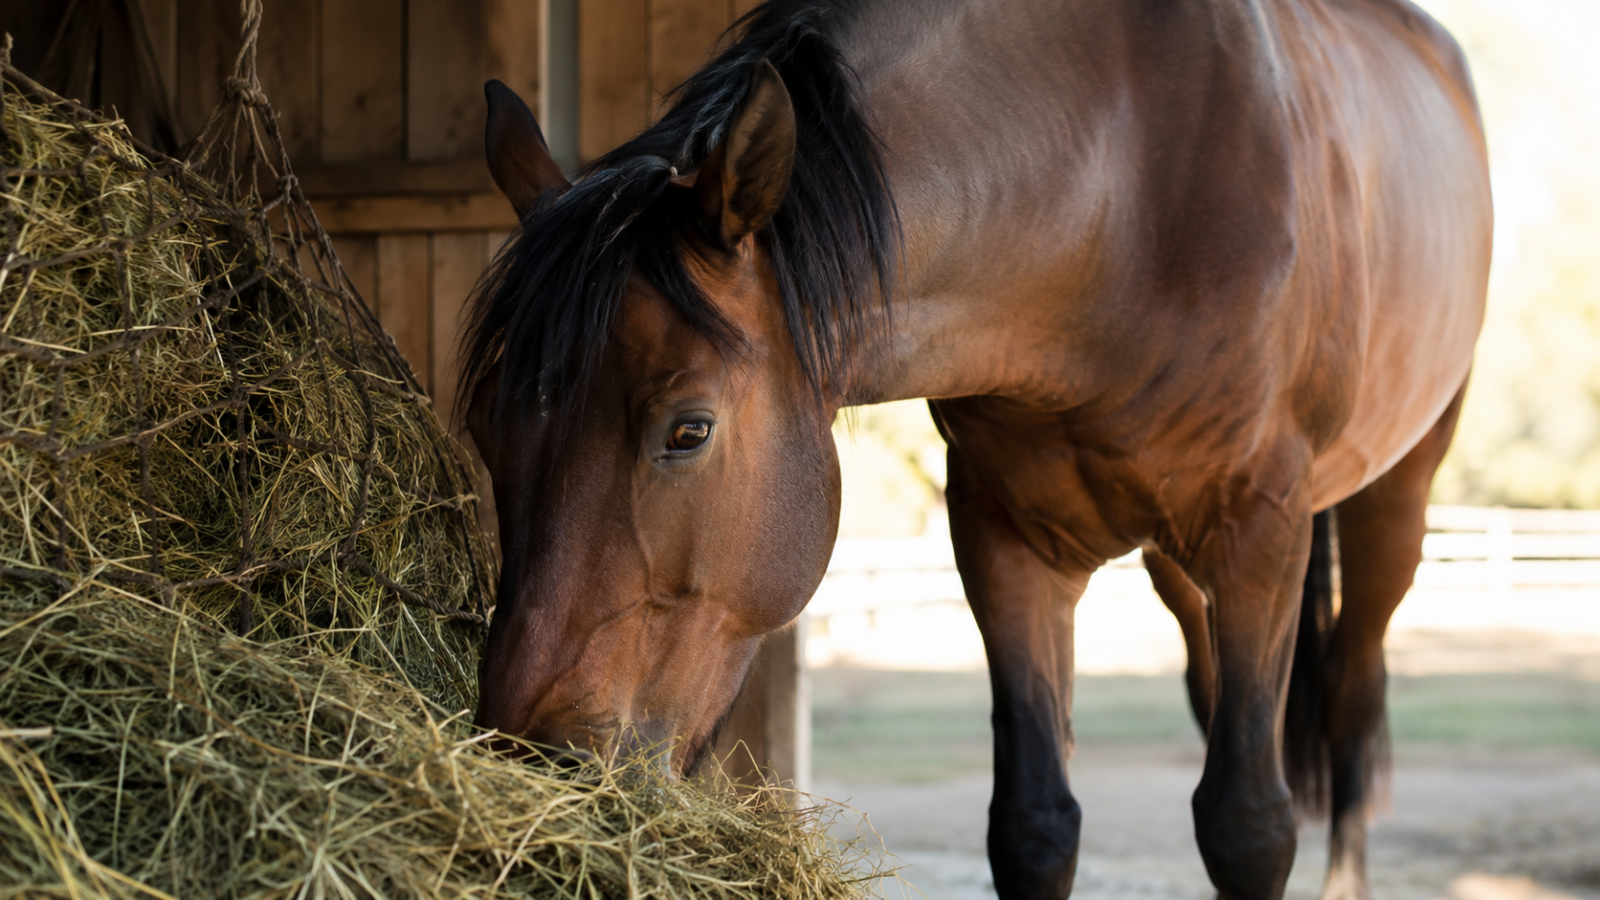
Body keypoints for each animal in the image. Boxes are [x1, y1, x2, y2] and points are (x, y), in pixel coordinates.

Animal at [459, 1, 1491, 898]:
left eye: (688, 430)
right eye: (486, 427)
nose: (535, 761)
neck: (1127, 188)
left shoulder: (1258, 535)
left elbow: (1248, 825)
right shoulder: (1006, 544)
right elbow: (1035, 824)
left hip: (1389, 502)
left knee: (1352, 692)